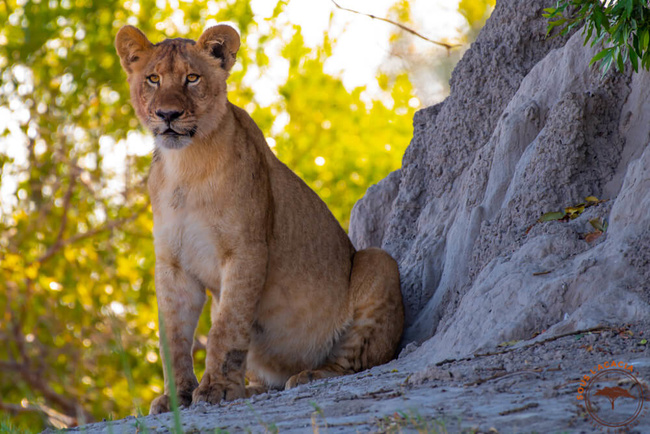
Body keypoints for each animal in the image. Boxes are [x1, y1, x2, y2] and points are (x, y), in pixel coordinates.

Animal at [114, 22, 402, 414]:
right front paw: (177, 398)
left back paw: (310, 375)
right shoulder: (172, 264)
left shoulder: (246, 250)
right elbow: (173, 337)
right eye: (153, 79)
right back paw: (254, 389)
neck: (184, 167)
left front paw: (217, 389)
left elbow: (227, 327)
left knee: (356, 362)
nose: (167, 115)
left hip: (378, 261)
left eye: (192, 78)